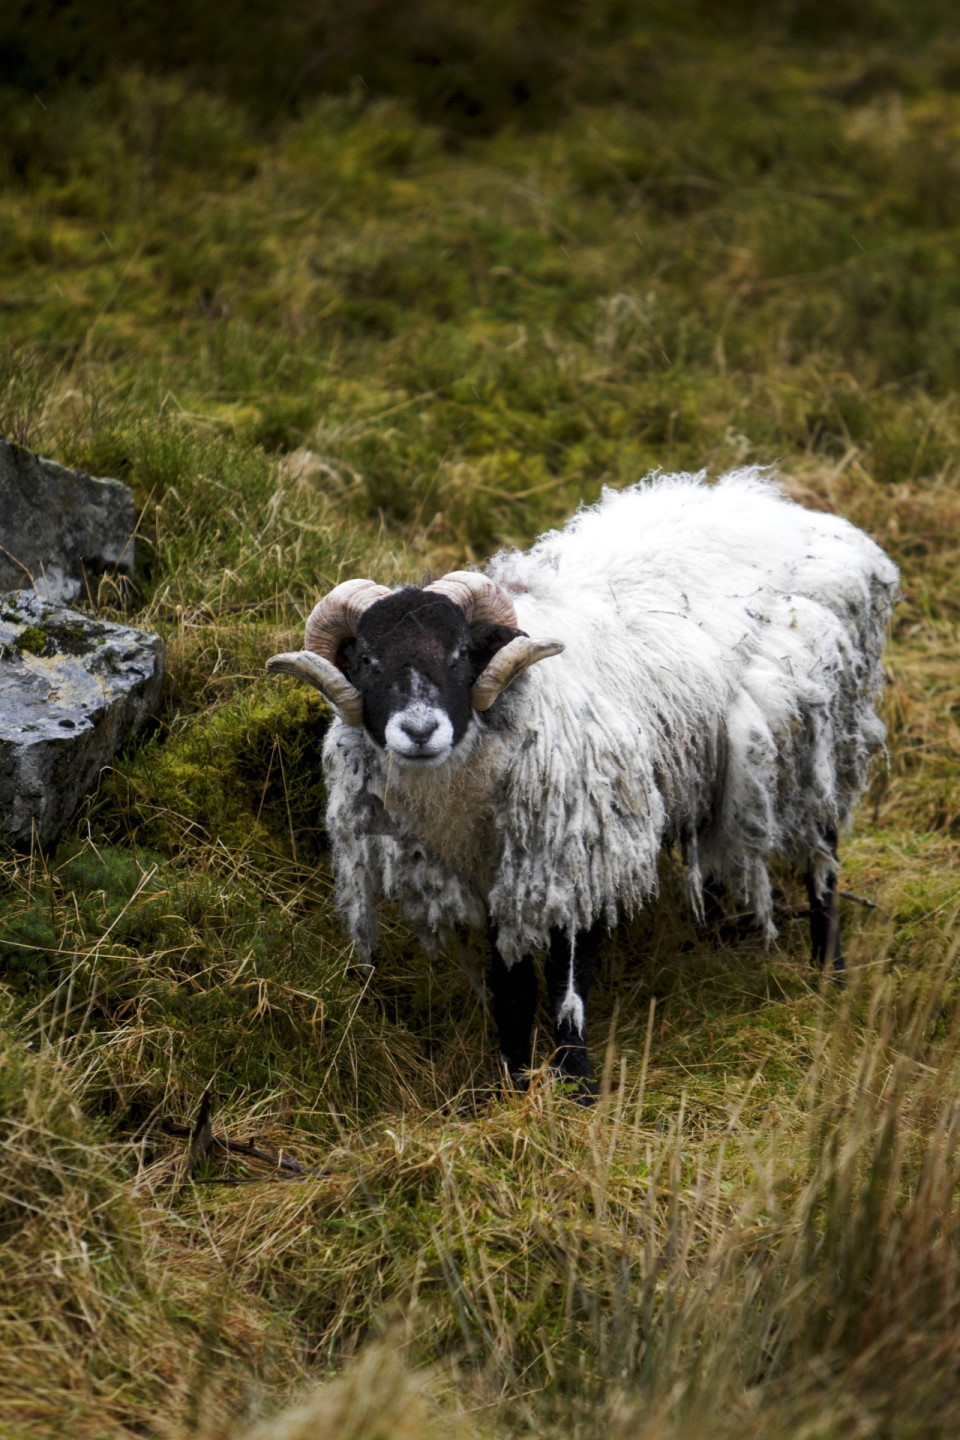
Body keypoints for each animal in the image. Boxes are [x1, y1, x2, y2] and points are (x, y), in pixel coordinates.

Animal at [266, 467, 899, 1098]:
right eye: (366, 660)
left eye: (463, 653)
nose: (419, 731)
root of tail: (797, 512)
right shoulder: (499, 873)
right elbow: (511, 984)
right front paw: (512, 1080)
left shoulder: (580, 848)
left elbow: (568, 979)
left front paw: (576, 1084)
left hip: (817, 735)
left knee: (823, 855)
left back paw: (830, 973)